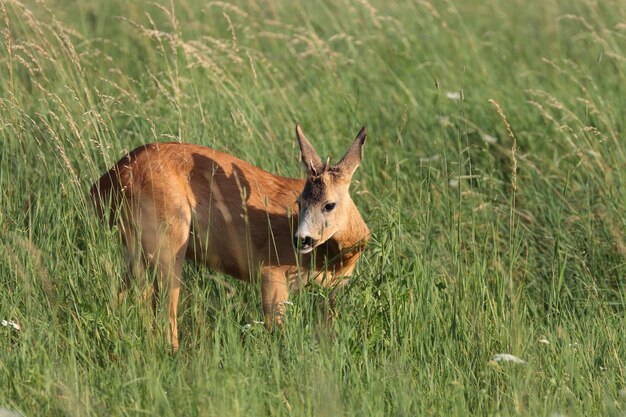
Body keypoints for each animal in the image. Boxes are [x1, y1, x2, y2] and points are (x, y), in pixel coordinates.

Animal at [90, 124, 368, 352]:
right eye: (299, 201)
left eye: (329, 204)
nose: (301, 239)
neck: (333, 259)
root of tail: (103, 183)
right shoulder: (272, 269)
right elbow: (277, 329)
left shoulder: (335, 289)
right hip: (167, 235)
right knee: (163, 307)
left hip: (136, 247)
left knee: (124, 295)